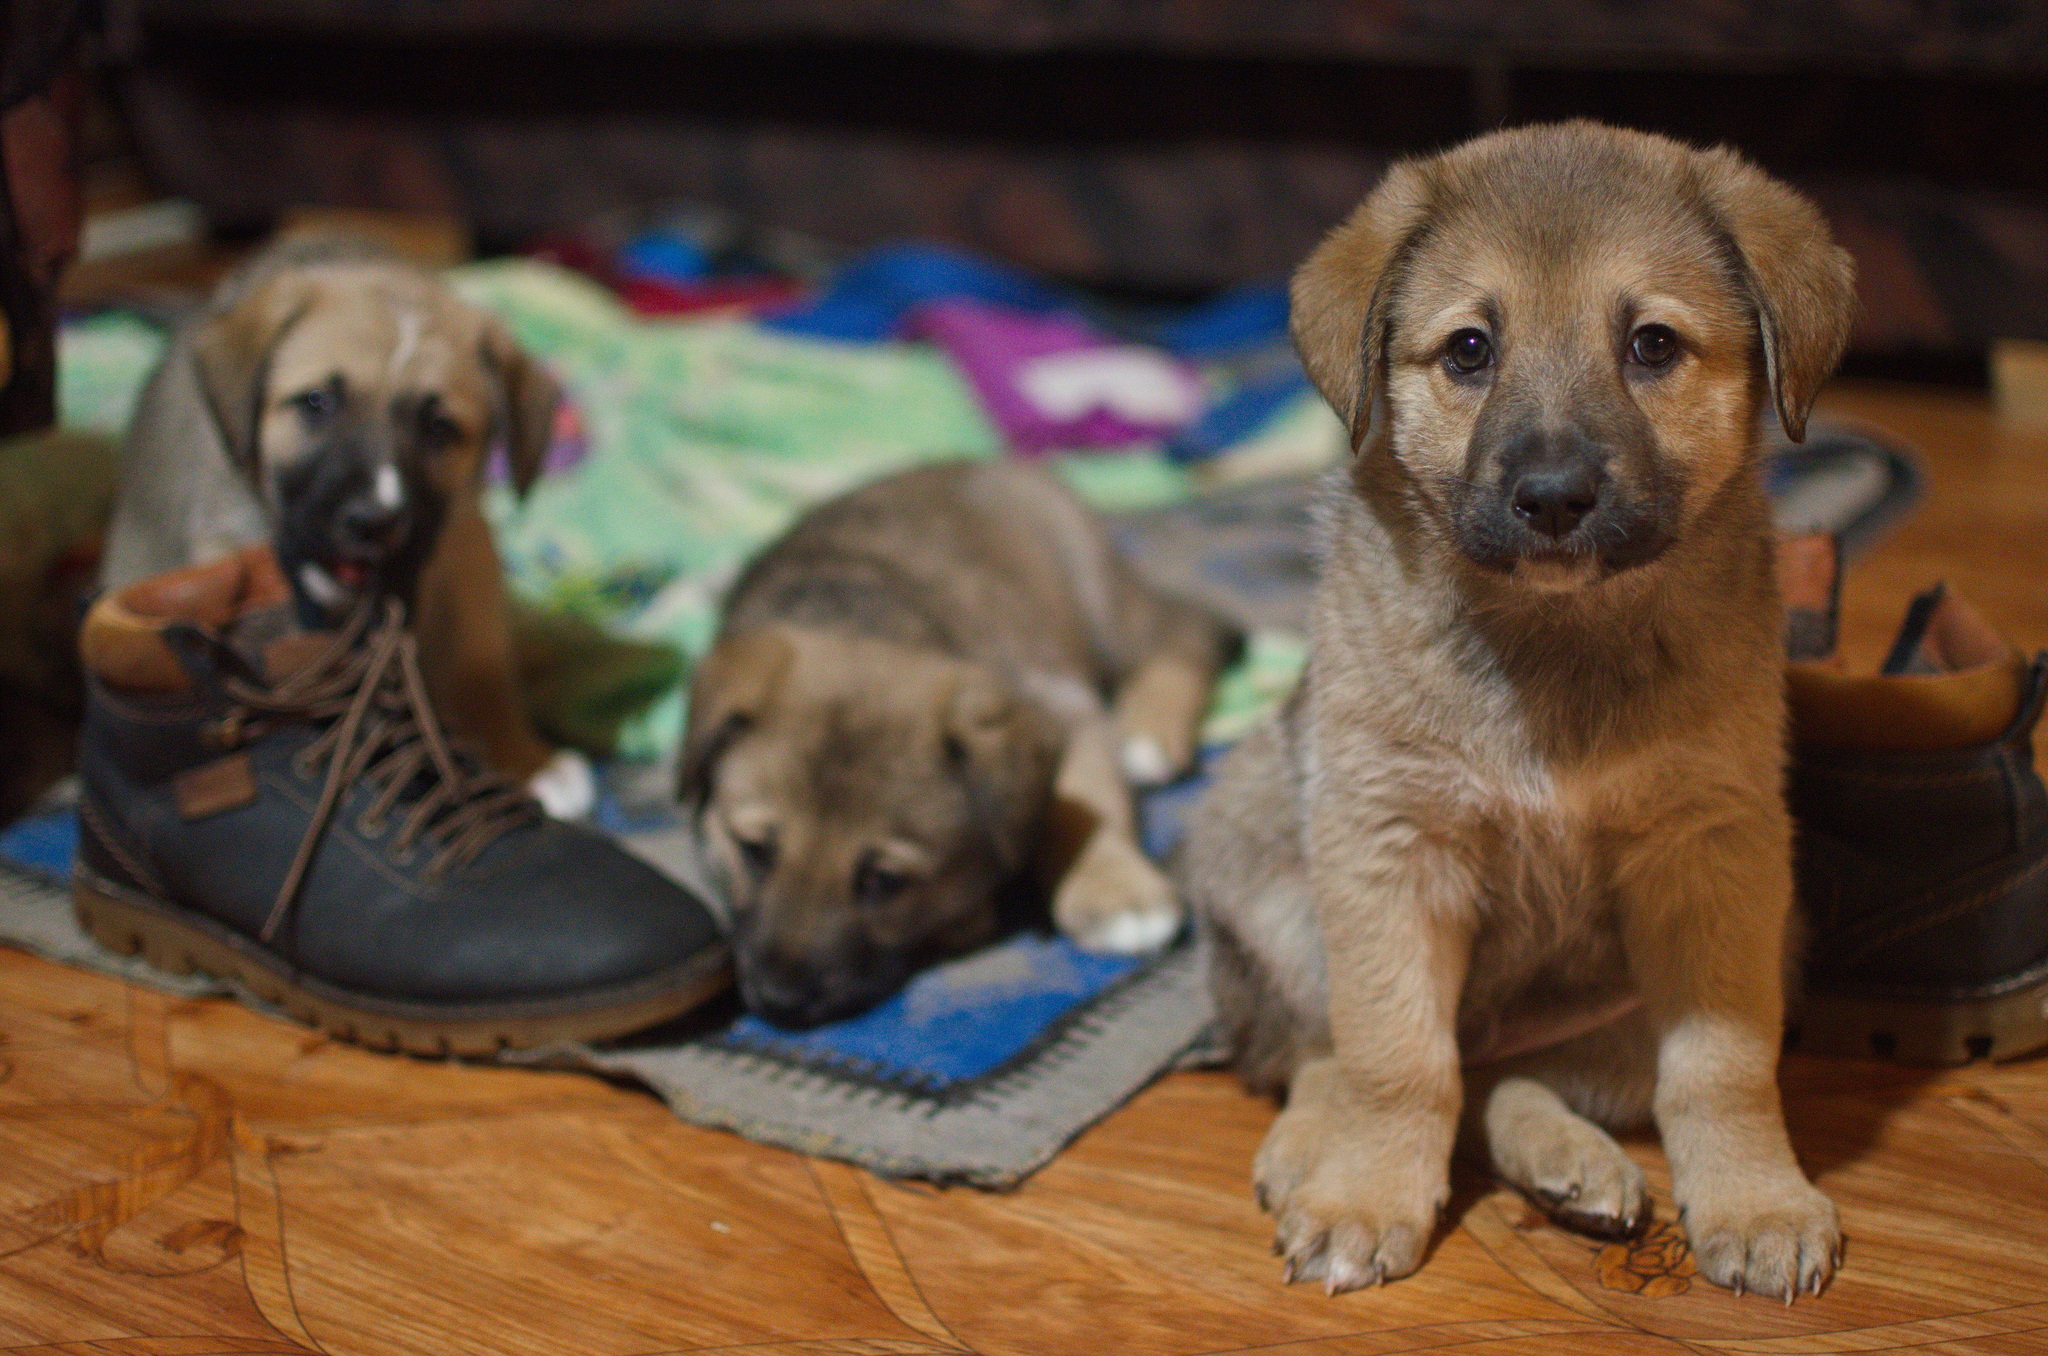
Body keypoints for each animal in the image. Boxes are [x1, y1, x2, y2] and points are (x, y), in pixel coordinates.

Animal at [100, 236, 593, 819]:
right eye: (317, 402)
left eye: (439, 426)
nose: (375, 523)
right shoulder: (236, 549)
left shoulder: (462, 542)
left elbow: (480, 659)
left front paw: (525, 759)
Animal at [684, 458, 1228, 1032]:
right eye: (753, 850)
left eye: (885, 881)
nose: (779, 1003)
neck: (869, 627)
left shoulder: (1061, 702)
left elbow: (1080, 809)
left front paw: (1116, 892)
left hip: (1097, 599)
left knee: (1190, 631)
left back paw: (1149, 730)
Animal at [1179, 127, 1867, 1310]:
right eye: (1467, 350)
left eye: (1650, 344)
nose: (1550, 497)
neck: (1554, 638)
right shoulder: (1389, 849)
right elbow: (1394, 1059)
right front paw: (1365, 1196)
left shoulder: (1713, 857)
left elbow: (1722, 1067)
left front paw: (1755, 1202)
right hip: (1261, 851)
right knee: (1334, 1055)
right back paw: (1312, 1153)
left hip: (1741, 952)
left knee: (1507, 1076)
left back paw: (1570, 1164)